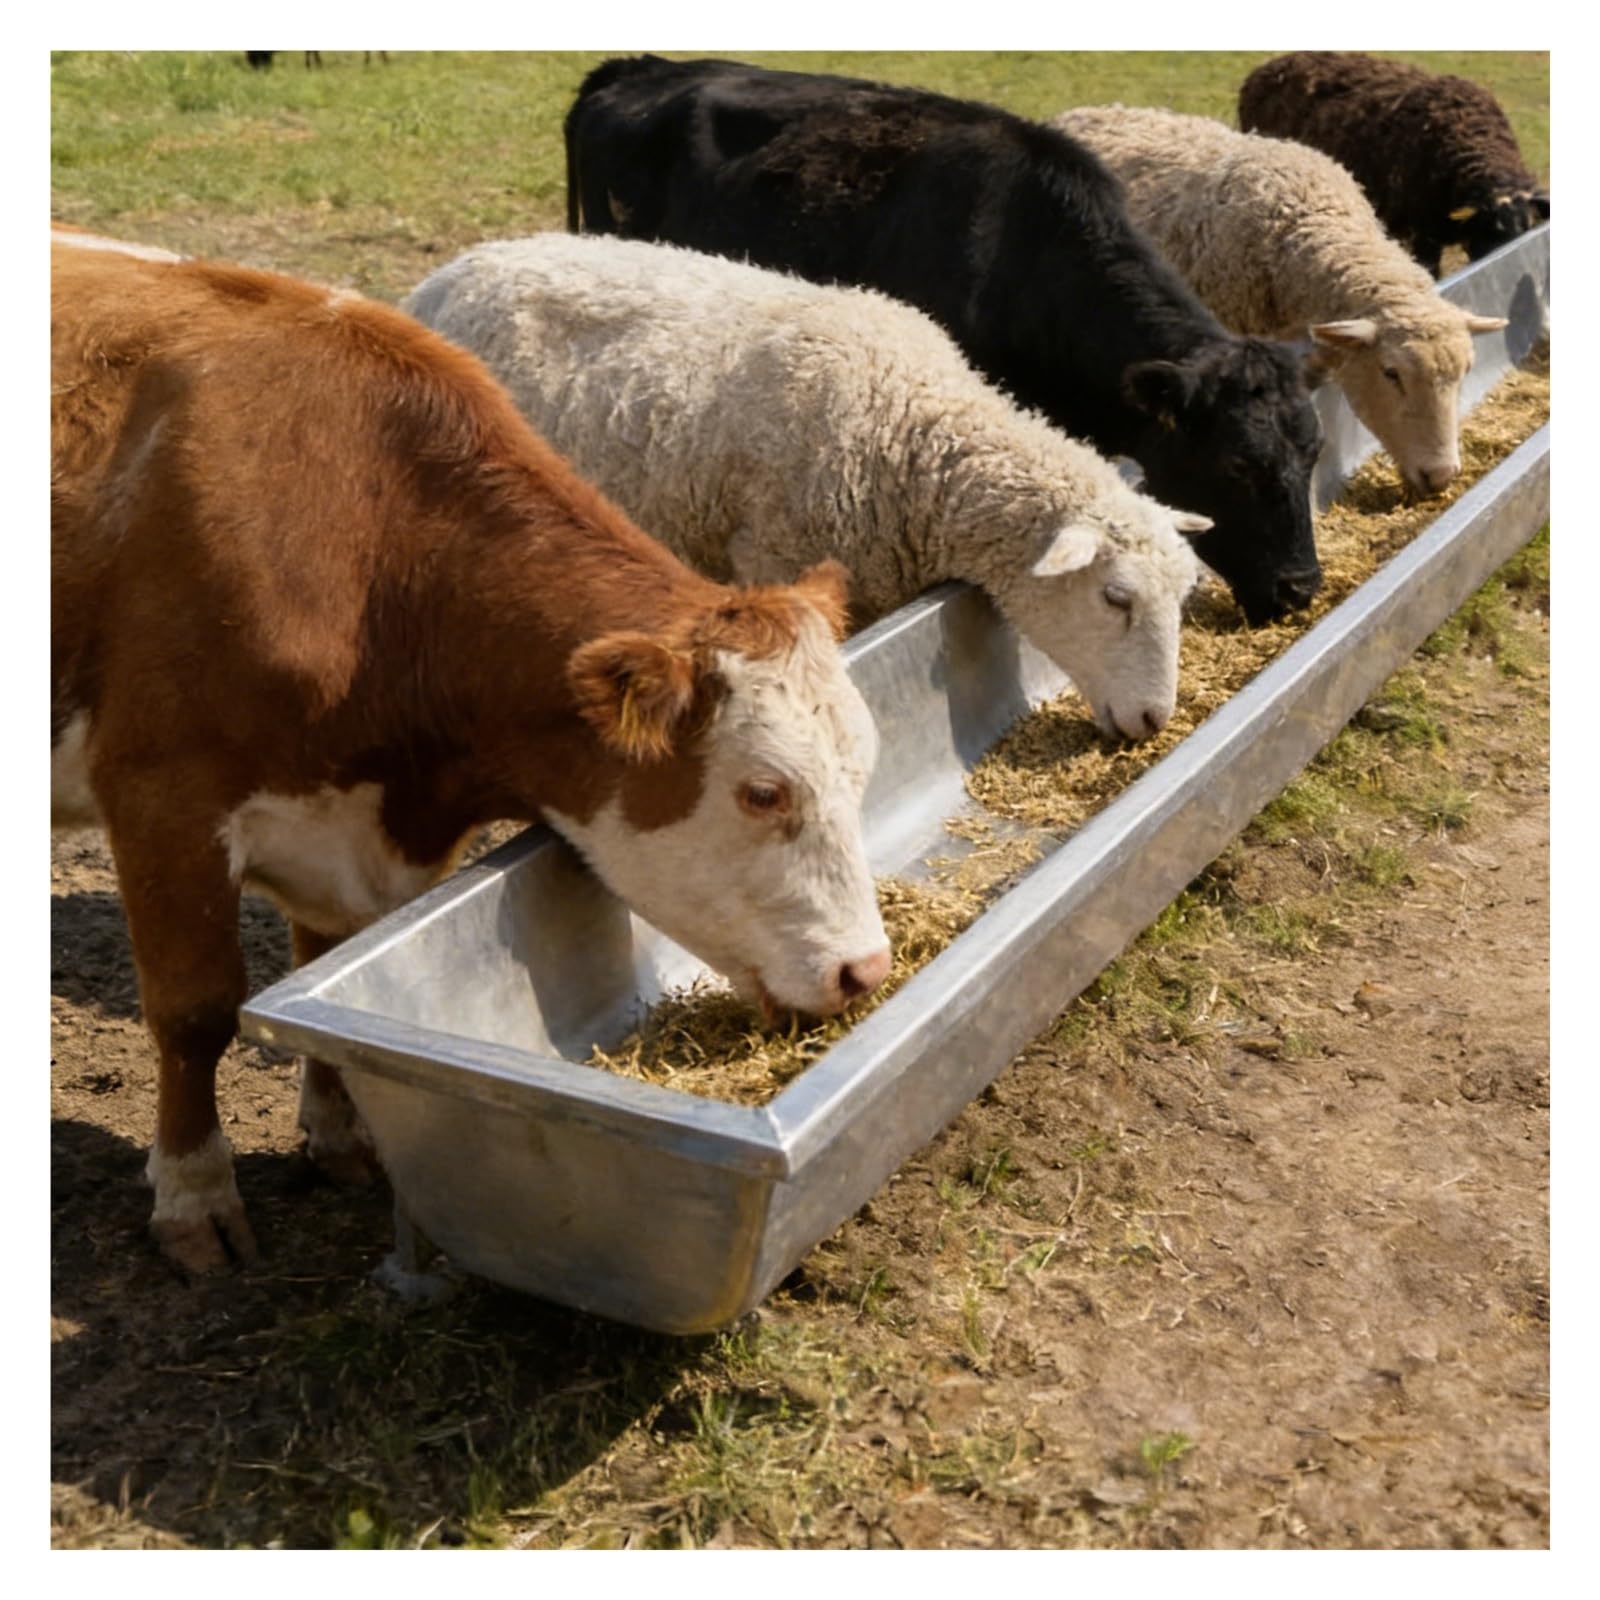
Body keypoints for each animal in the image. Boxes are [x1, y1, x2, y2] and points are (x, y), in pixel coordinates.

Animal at [405, 234, 1208, 744]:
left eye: (1185, 595)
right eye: (1116, 598)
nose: (1153, 723)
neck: (914, 431)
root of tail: (440, 279)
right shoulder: (776, 555)